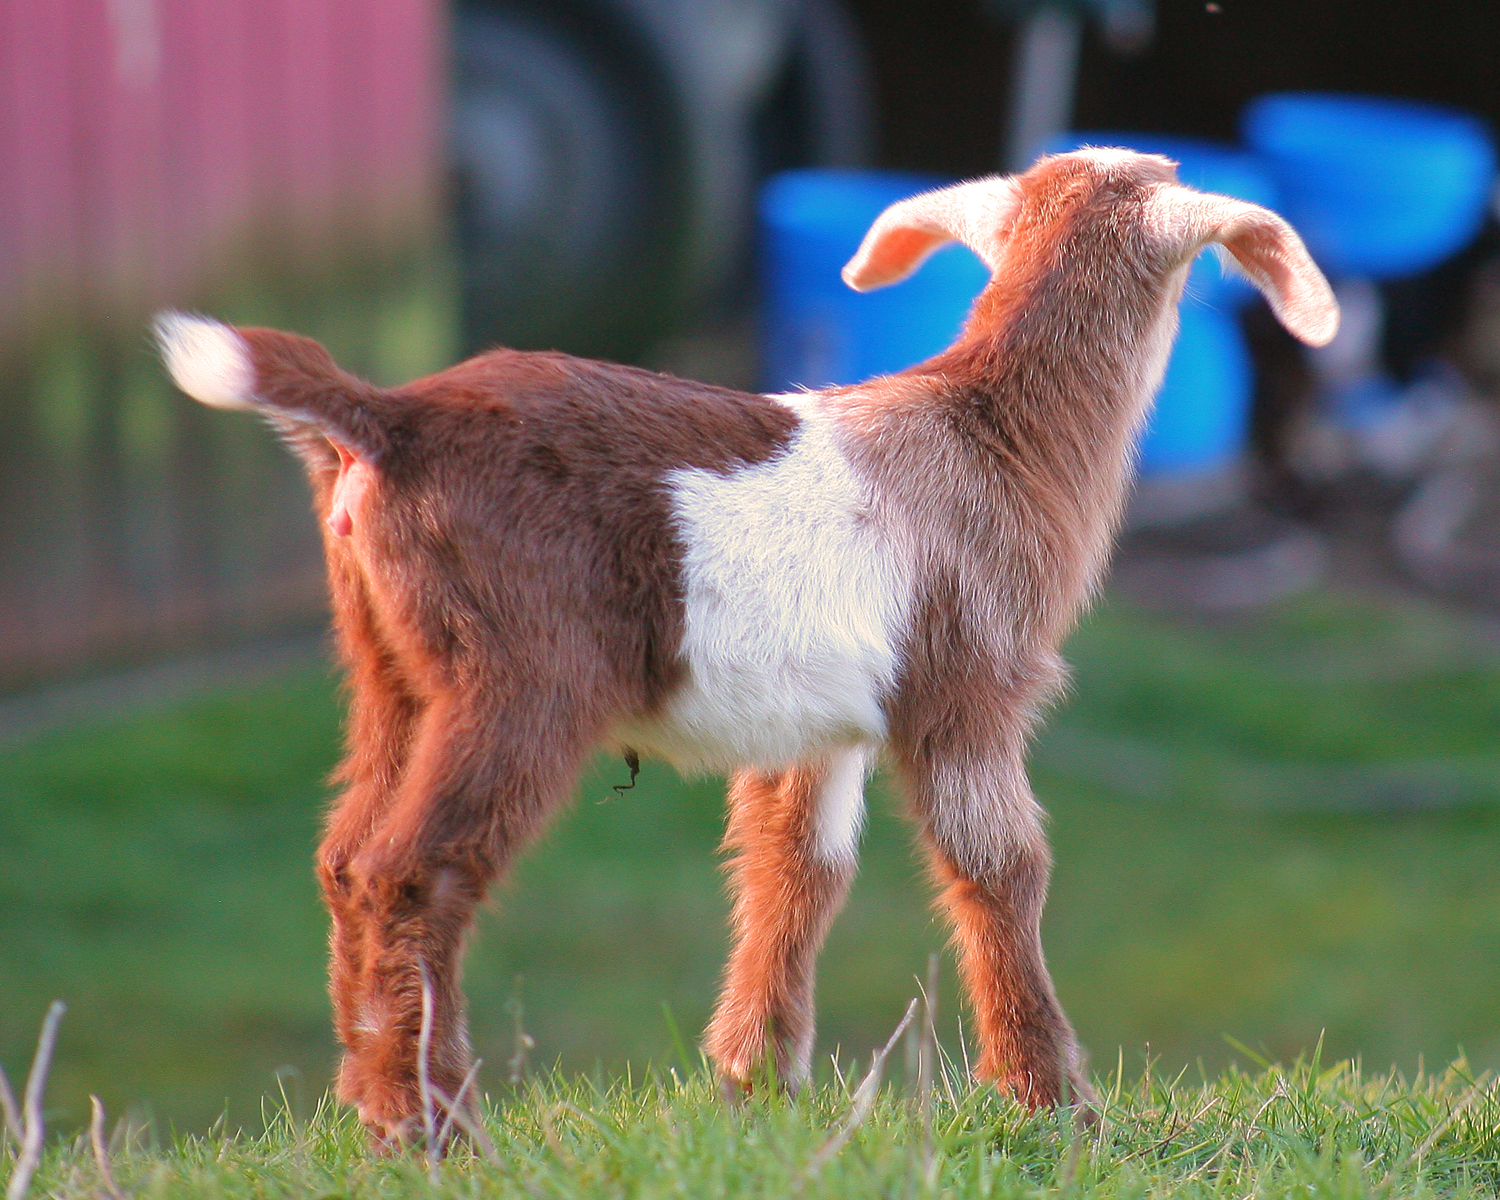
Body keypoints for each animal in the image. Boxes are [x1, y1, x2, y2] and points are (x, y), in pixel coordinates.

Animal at [156, 147, 1338, 1146]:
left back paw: (371, 1104)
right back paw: (437, 1125)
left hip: (394, 672)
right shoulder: (968, 684)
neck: (993, 432)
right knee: (413, 871)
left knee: (343, 856)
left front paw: (753, 1085)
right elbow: (1001, 865)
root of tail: (386, 422)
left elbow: (795, 871)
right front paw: (1052, 1101)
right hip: (522, 675)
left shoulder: (817, 725)